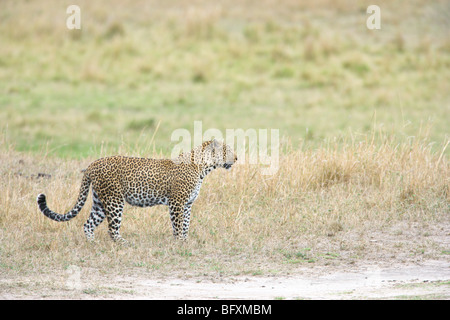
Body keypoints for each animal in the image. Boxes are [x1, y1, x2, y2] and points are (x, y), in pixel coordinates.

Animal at [37, 140, 237, 242]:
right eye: (227, 150)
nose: (236, 158)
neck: (203, 168)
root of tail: (93, 164)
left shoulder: (187, 204)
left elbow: (186, 224)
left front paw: (185, 241)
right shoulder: (177, 202)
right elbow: (178, 224)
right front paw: (179, 242)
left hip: (100, 202)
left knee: (88, 224)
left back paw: (92, 243)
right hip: (114, 200)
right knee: (112, 228)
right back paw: (122, 244)